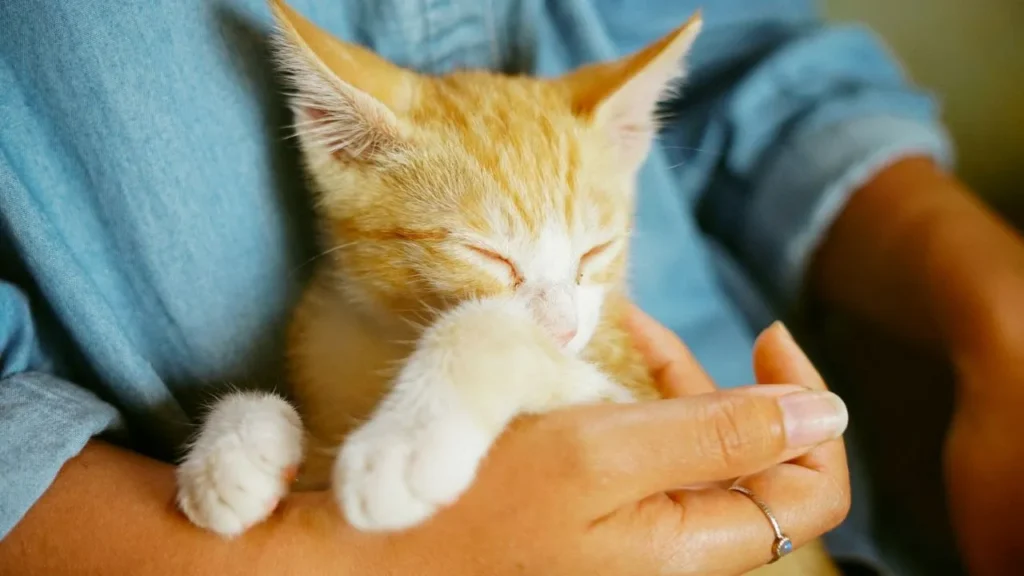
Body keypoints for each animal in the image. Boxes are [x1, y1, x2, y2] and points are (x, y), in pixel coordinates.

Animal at [172, 3, 835, 569]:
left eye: (595, 252)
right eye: (485, 254)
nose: (564, 330)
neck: (390, 335)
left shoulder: (638, 411)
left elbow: (487, 328)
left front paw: (404, 444)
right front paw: (234, 449)